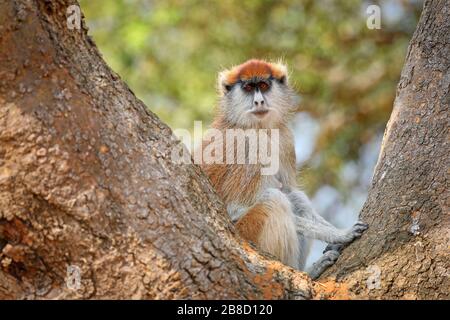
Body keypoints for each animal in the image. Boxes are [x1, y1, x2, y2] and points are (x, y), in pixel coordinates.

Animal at [201, 58, 370, 278]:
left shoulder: (285, 138)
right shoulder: (249, 147)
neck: (257, 127)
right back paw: (307, 273)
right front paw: (340, 234)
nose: (259, 102)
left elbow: (291, 191)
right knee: (274, 200)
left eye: (264, 85)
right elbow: (236, 209)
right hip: (248, 236)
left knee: (295, 197)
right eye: (248, 88)